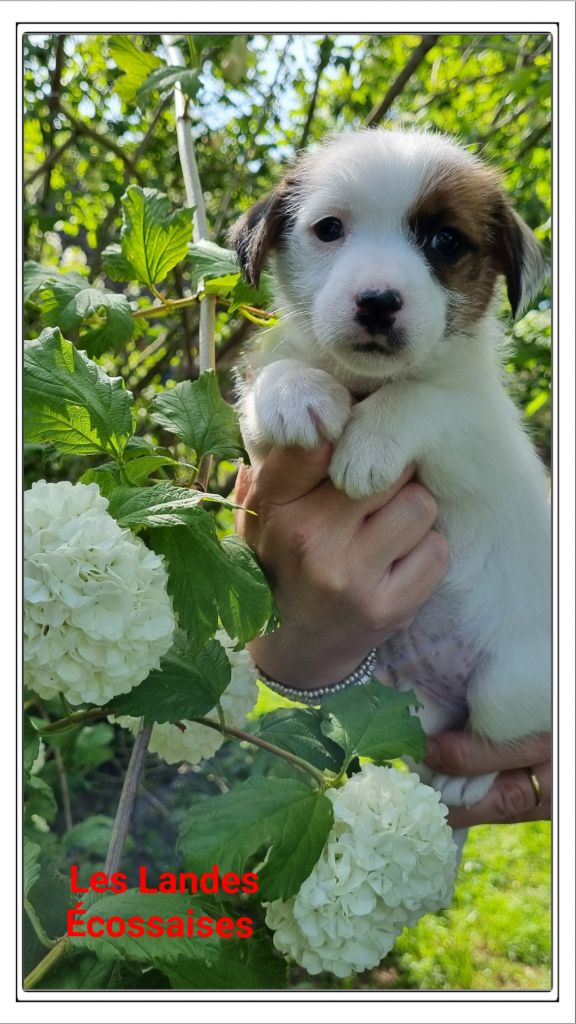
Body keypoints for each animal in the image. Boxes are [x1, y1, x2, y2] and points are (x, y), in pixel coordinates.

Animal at [230, 128, 549, 811]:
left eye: (446, 242)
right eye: (329, 229)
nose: (377, 302)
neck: (364, 381)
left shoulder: (476, 431)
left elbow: (424, 400)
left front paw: (371, 444)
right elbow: (269, 376)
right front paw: (294, 394)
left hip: (509, 684)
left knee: (490, 735)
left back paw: (466, 775)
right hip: (396, 696)